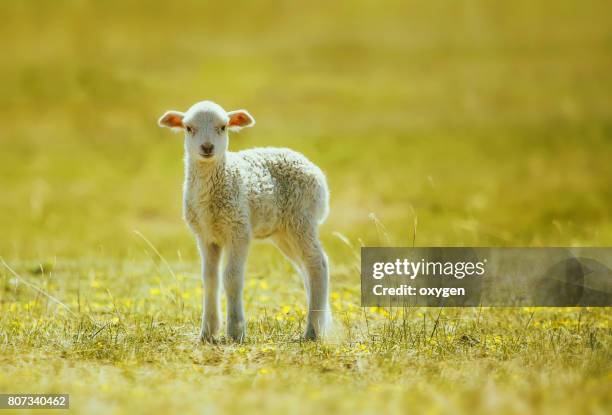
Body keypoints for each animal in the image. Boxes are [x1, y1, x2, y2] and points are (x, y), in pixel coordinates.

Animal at [157, 100, 330, 342]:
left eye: (223, 127)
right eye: (188, 128)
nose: (207, 147)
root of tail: (312, 167)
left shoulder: (238, 230)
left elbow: (231, 278)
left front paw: (235, 331)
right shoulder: (205, 235)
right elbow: (210, 279)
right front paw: (207, 332)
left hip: (302, 219)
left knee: (317, 264)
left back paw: (312, 331)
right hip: (283, 231)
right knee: (306, 268)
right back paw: (319, 322)